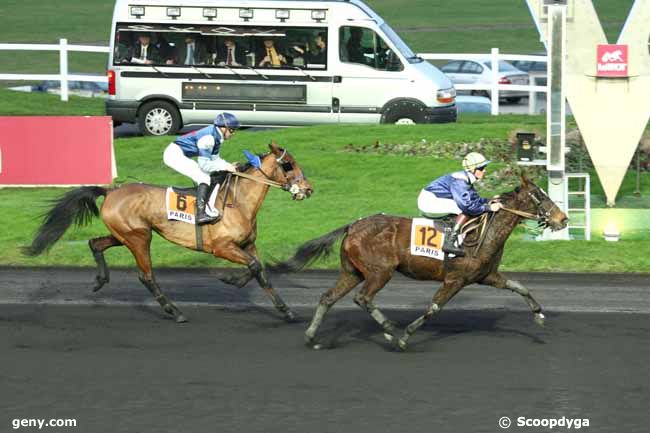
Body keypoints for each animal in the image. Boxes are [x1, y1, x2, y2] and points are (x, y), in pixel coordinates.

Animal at [22, 143, 312, 322]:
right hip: (139, 237)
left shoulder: (248, 245)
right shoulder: (222, 247)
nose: (308, 189)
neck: (237, 201)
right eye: (288, 165)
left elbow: (261, 272)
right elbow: (253, 267)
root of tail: (111, 190)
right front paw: (232, 280)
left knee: (95, 243)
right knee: (146, 276)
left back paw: (100, 279)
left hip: (124, 234)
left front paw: (286, 311)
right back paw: (174, 311)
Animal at [268, 177, 568, 350]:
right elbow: (434, 308)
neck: (485, 231)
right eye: (540, 196)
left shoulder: (487, 276)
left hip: (352, 272)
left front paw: (539, 315)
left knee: (328, 298)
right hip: (380, 272)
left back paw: (311, 336)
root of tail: (353, 225)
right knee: (363, 298)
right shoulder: (455, 279)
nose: (563, 219)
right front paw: (405, 337)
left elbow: (520, 287)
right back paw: (390, 330)